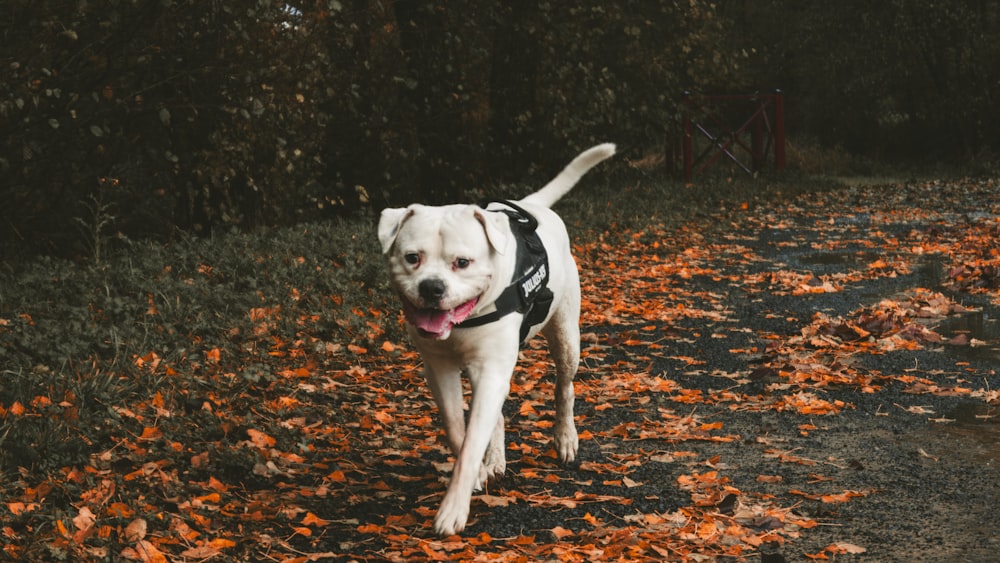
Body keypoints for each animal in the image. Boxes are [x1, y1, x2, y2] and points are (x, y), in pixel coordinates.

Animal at [378, 143, 612, 536]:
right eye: (412, 258)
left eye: (463, 262)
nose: (431, 287)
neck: (463, 322)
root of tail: (531, 206)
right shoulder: (439, 370)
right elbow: (458, 429)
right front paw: (478, 472)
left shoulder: (490, 371)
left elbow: (473, 440)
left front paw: (452, 509)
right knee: (499, 415)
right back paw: (496, 459)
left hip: (566, 337)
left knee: (564, 386)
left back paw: (565, 438)